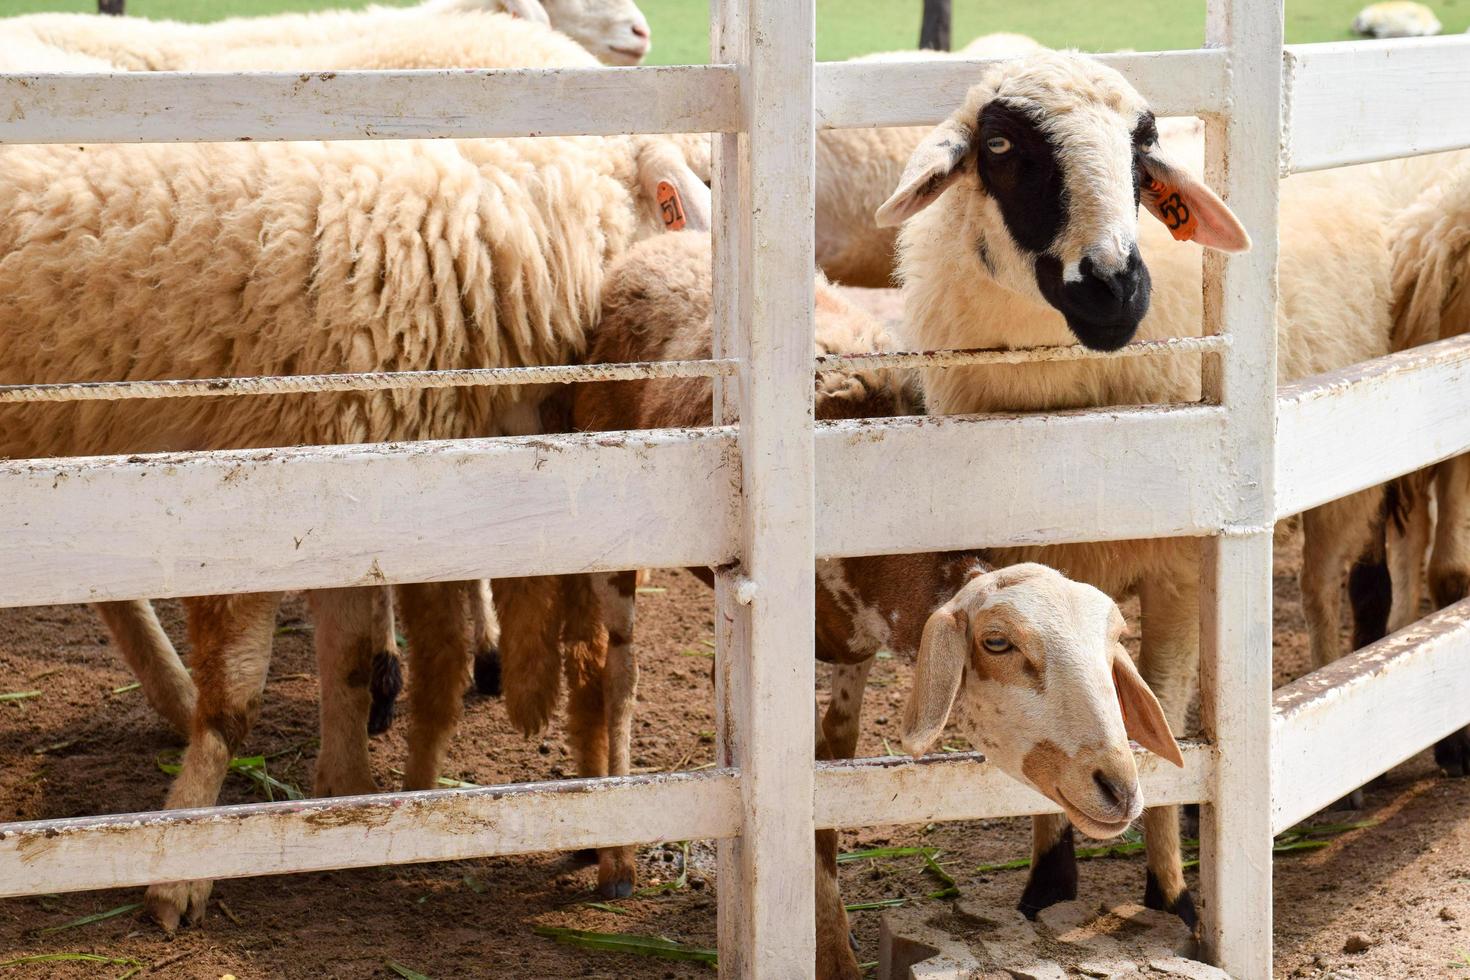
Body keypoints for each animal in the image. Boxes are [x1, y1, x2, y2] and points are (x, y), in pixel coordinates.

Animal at [0, 11, 705, 934]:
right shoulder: (253, 489)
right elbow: (240, 699)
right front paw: (182, 864)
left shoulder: (339, 477)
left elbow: (347, 653)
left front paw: (346, 793)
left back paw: (171, 694)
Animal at [870, 49, 1411, 934]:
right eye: (1002, 145)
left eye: (1140, 149)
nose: (1115, 287)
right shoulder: (1025, 558)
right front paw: (1046, 884)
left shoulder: (1178, 567)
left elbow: (1161, 699)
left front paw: (1173, 894)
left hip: (1340, 475)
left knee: (1324, 590)